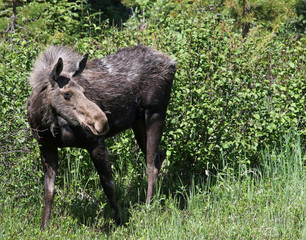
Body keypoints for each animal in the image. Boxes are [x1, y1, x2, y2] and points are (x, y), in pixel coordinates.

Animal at [27, 44, 176, 230]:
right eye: (66, 94)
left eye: (84, 91)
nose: (102, 121)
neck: (46, 123)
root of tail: (172, 62)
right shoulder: (46, 147)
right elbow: (48, 190)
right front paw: (44, 227)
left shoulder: (96, 142)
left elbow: (108, 185)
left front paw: (119, 221)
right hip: (138, 122)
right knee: (159, 156)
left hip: (155, 111)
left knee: (151, 163)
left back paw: (149, 206)